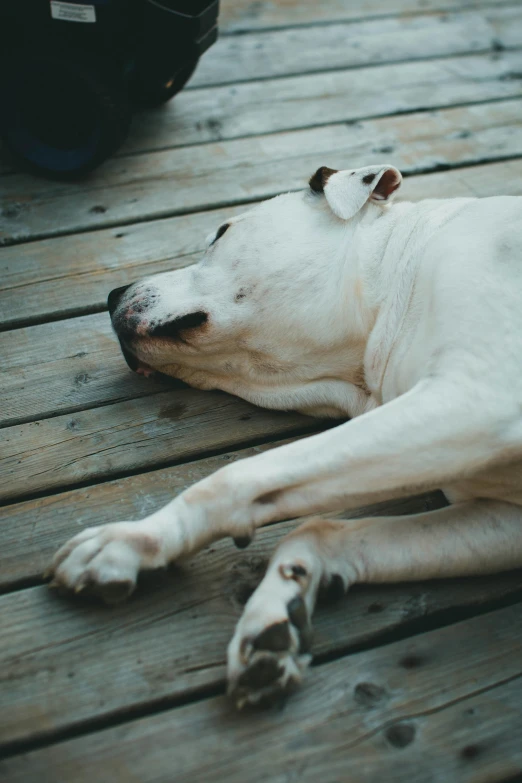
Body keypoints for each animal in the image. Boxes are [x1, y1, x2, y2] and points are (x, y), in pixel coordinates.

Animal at [47, 165, 520, 712]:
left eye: (222, 232)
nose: (110, 295)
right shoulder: (500, 518)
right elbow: (320, 530)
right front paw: (277, 608)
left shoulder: (475, 396)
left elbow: (233, 477)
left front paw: (134, 540)